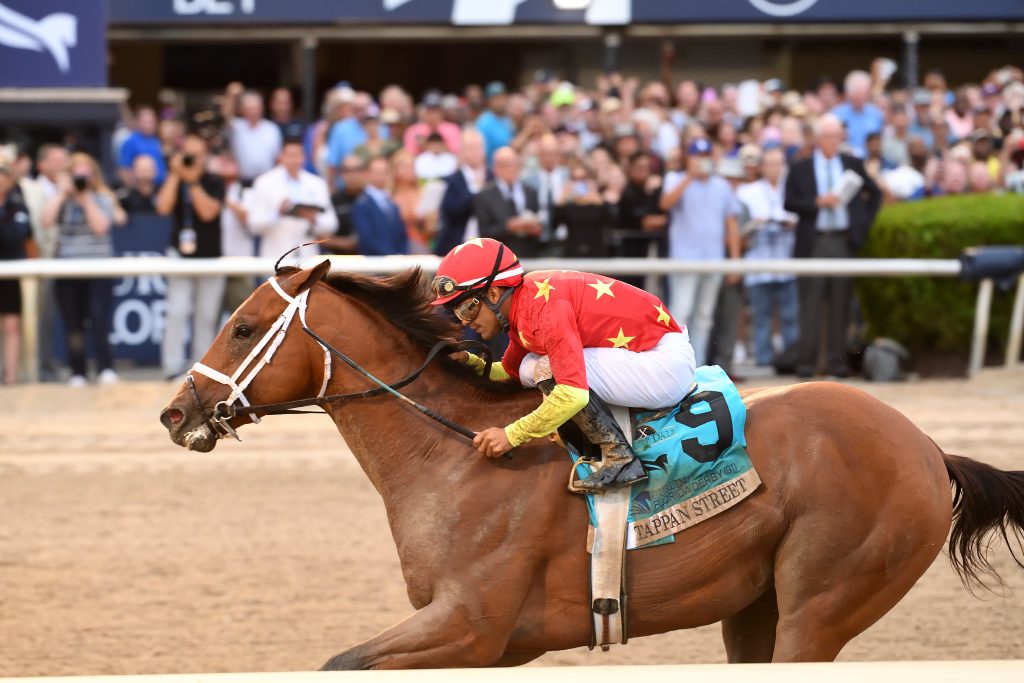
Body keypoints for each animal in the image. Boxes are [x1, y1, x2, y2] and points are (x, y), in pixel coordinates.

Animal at [159, 262, 1024, 669]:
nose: (176, 412)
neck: (450, 456)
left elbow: (343, 659)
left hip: (823, 601)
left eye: (243, 327)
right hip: (756, 606)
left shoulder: (472, 625)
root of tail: (927, 449)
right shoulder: (486, 641)